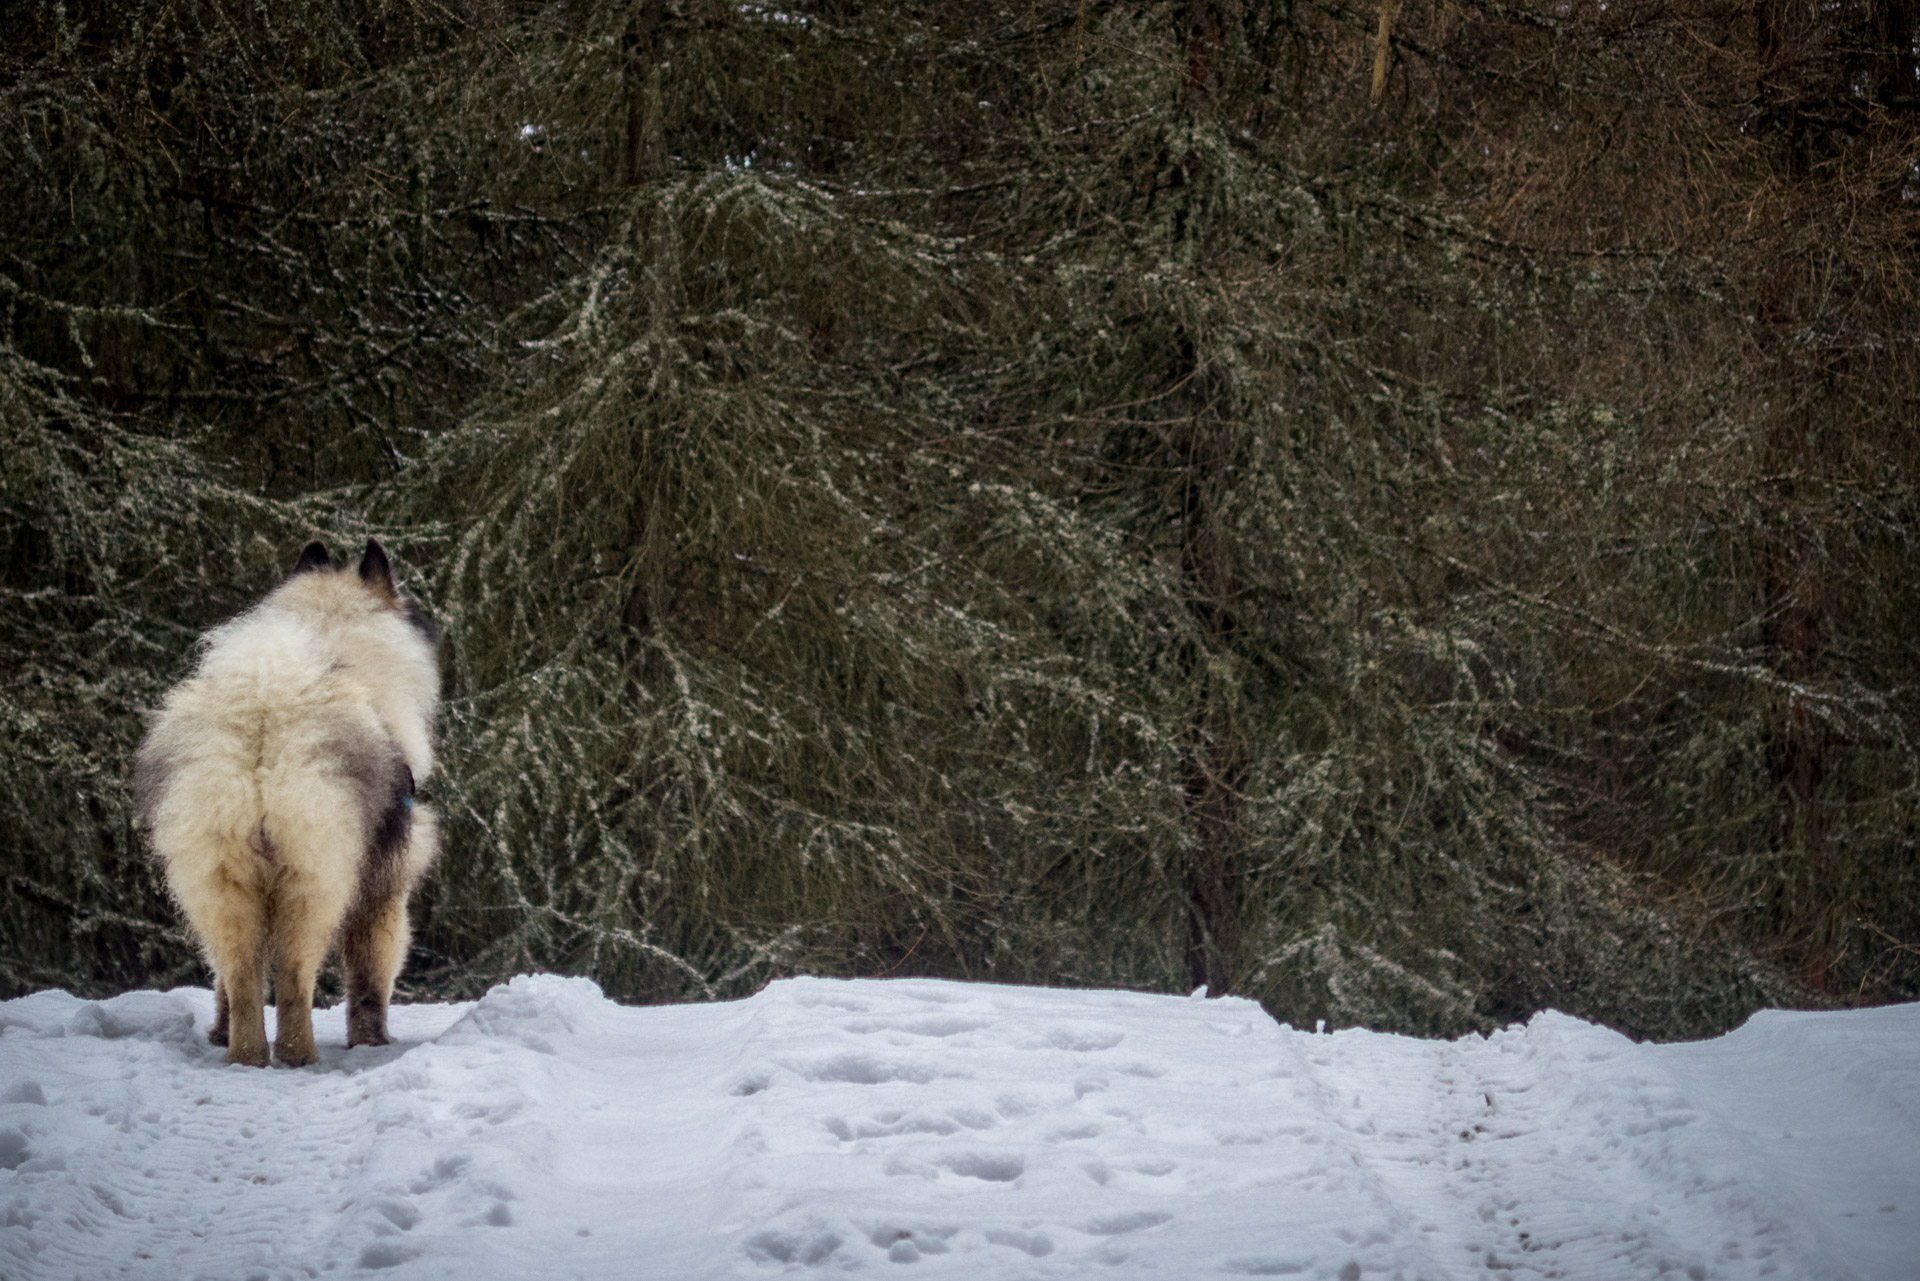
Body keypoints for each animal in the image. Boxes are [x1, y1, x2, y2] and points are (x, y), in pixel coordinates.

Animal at [135, 537, 439, 1060]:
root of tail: (263, 722)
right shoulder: (385, 887)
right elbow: (370, 978)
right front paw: (372, 1042)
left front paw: (219, 1032)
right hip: (316, 878)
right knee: (296, 979)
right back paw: (298, 1055)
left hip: (220, 879)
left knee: (240, 978)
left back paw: (245, 1054)